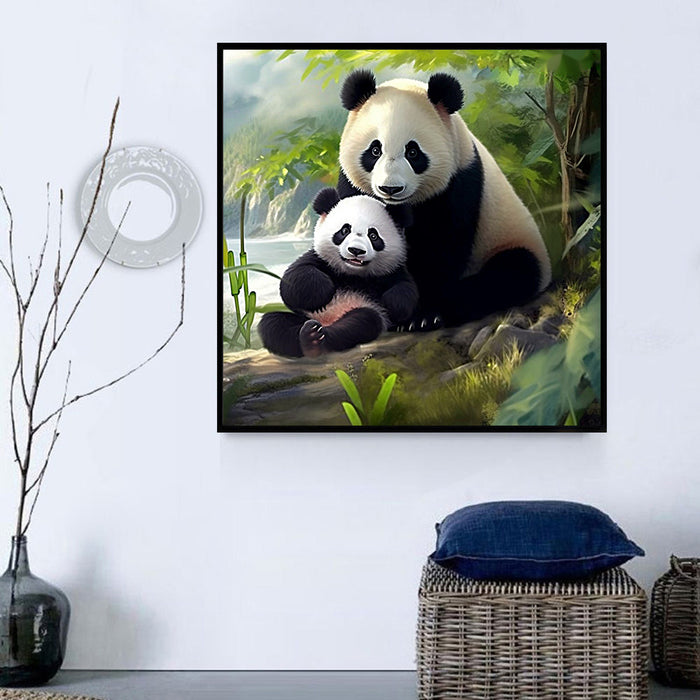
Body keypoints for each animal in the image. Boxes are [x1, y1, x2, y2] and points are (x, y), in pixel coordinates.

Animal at [259, 187, 418, 358]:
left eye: (373, 235)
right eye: (345, 230)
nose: (356, 250)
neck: (352, 274)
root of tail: (326, 321)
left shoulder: (391, 270)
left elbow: (406, 290)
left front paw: (392, 304)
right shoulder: (319, 259)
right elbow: (293, 280)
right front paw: (324, 292)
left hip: (364, 309)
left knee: (361, 322)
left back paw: (316, 341)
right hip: (302, 315)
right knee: (274, 323)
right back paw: (308, 339)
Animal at [337, 69, 552, 330]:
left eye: (413, 152)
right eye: (375, 150)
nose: (390, 188)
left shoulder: (458, 181)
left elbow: (440, 249)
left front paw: (422, 316)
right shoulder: (352, 185)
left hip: (510, 239)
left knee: (509, 275)